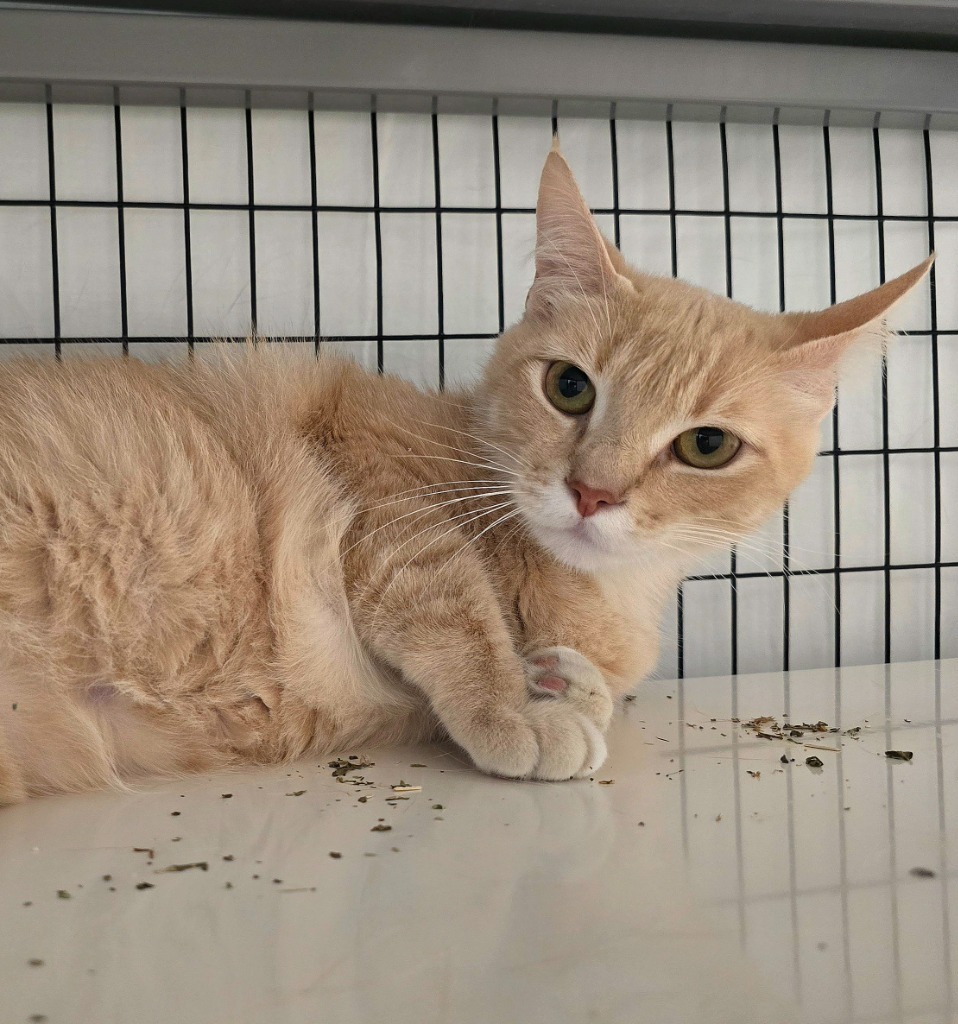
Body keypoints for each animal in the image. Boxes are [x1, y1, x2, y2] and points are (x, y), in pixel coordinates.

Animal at [0, 140, 933, 802]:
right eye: (569, 387)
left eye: (707, 446)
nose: (594, 491)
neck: (602, 598)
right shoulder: (371, 472)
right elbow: (451, 597)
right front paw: (514, 705)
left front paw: (558, 679)